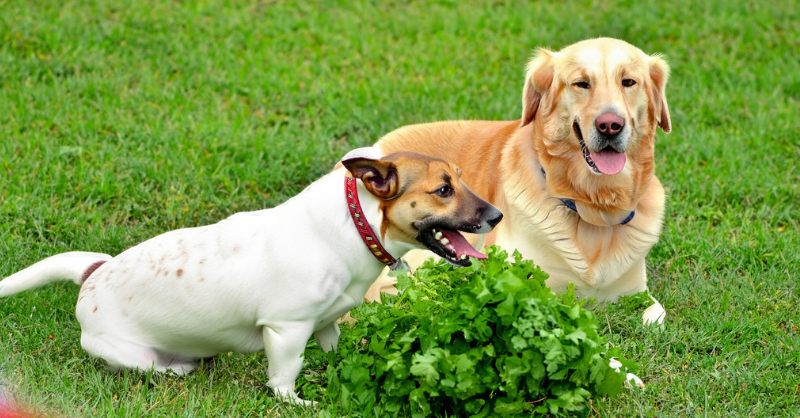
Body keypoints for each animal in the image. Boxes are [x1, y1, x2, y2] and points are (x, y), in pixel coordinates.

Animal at [0, 149, 500, 404]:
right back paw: (180, 368)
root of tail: (94, 274)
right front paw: (302, 403)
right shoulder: (286, 329)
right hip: (129, 354)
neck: (355, 225)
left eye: (460, 177)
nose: (496, 215)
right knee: (156, 368)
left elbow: (333, 352)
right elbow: (283, 382)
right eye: (443, 190)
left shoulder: (326, 324)